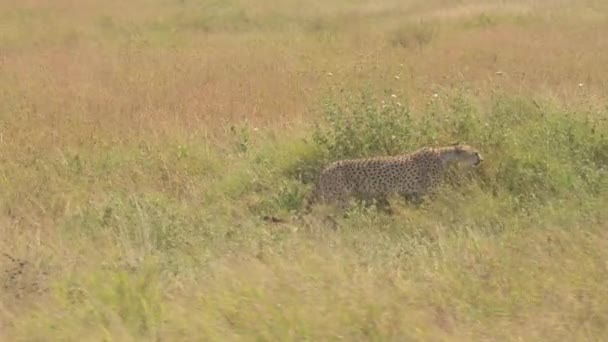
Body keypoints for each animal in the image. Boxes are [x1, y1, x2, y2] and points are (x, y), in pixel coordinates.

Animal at [304, 143, 484, 210]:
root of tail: (325, 169)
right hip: (339, 199)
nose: (481, 159)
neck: (444, 156)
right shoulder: (431, 192)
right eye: (475, 152)